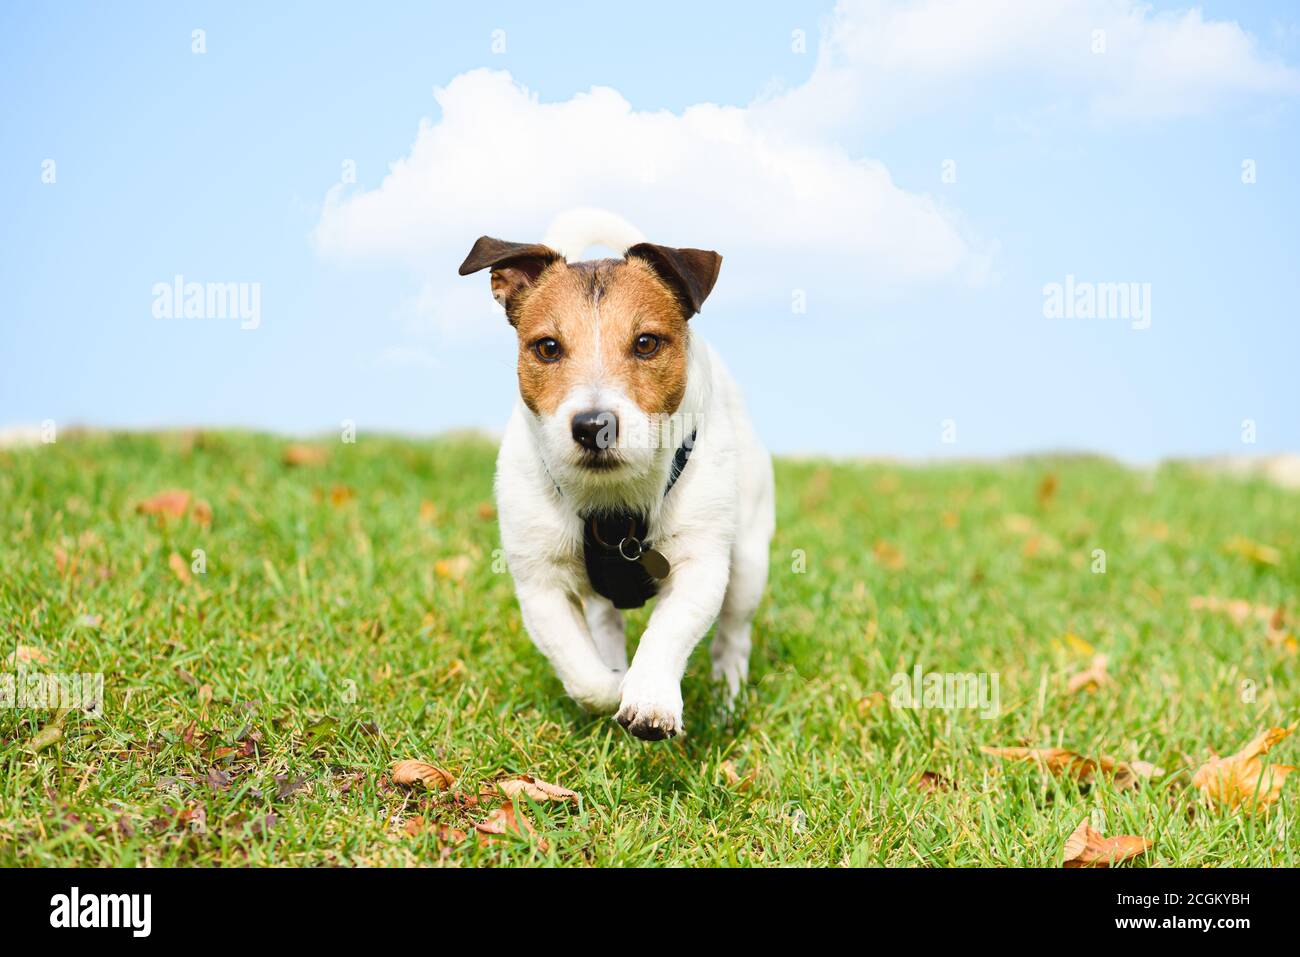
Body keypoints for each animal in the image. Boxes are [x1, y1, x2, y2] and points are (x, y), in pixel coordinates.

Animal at [460, 217, 769, 738]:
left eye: (646, 342)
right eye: (547, 347)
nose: (593, 426)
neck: (613, 503)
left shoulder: (700, 566)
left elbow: (668, 631)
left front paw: (650, 699)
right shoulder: (539, 584)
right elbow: (581, 670)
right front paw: (614, 686)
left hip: (748, 559)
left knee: (733, 636)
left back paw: (727, 698)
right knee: (605, 625)